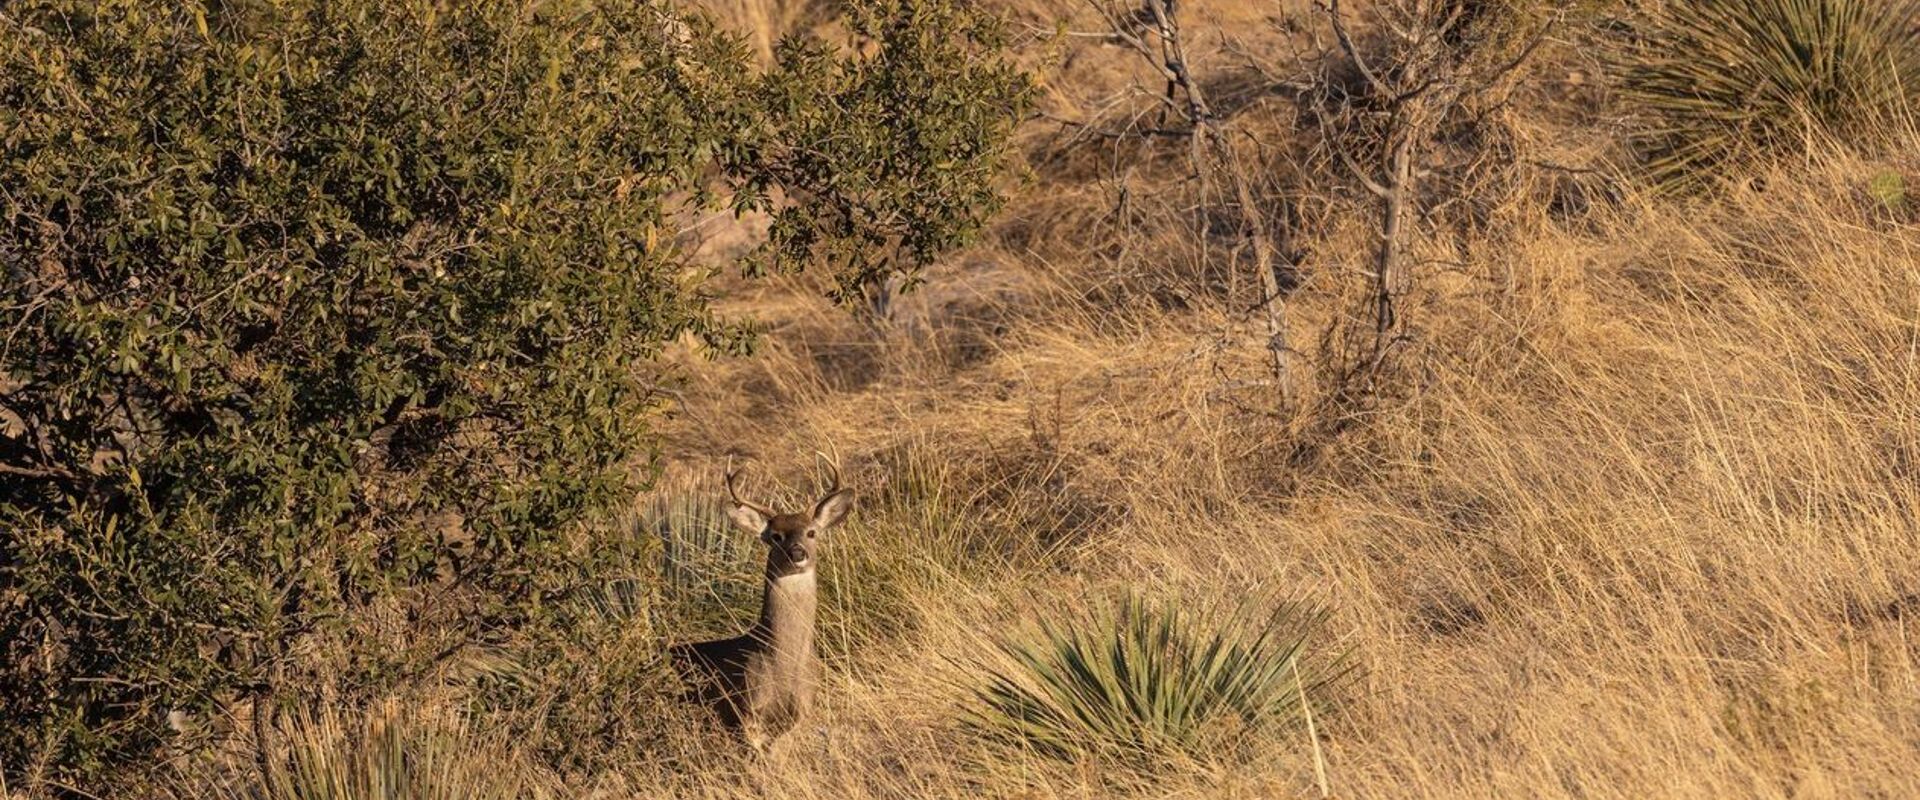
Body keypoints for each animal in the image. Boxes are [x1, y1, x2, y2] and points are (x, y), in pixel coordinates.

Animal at [668, 458, 853, 749]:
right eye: (776, 536)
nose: (797, 553)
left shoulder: (803, 711)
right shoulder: (747, 710)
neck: (784, 662)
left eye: (811, 532)